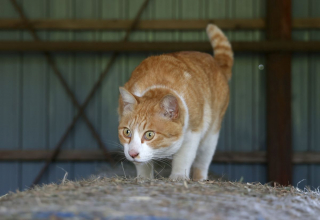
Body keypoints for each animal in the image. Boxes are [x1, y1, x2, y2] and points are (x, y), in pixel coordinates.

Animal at [117, 24, 232, 181]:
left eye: (149, 135)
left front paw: (178, 177)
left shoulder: (193, 132)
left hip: (211, 134)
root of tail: (217, 65)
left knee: (203, 161)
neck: (158, 86)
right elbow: (143, 165)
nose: (133, 153)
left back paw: (200, 179)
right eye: (127, 132)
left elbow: (184, 157)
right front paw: (144, 178)